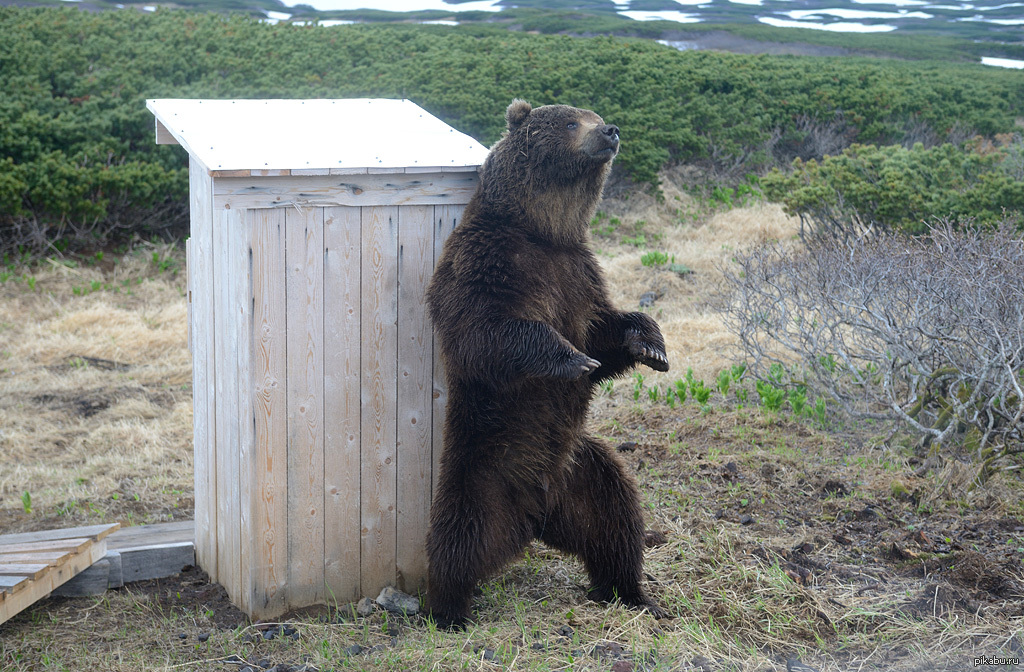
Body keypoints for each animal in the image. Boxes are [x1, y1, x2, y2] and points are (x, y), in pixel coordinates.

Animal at [425, 99, 671, 631]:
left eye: (594, 114)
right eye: (570, 121)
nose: (610, 130)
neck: (545, 230)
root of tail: (534, 513)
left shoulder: (580, 275)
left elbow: (609, 328)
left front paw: (653, 348)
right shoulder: (487, 261)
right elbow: (487, 332)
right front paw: (572, 359)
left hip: (582, 470)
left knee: (617, 520)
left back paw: (634, 593)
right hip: (481, 470)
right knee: (457, 539)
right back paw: (449, 610)